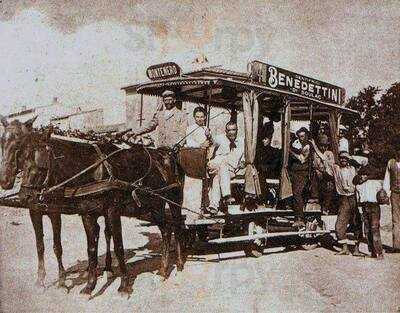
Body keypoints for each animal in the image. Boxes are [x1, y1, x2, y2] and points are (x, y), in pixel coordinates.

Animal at [0, 117, 186, 294]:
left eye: (40, 165)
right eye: (24, 161)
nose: (24, 196)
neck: (93, 171)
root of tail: (167, 153)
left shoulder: (112, 211)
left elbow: (118, 246)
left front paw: (124, 286)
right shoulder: (86, 213)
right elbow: (90, 248)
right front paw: (89, 286)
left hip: (174, 200)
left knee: (176, 225)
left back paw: (178, 262)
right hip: (154, 206)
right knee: (166, 229)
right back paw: (162, 269)